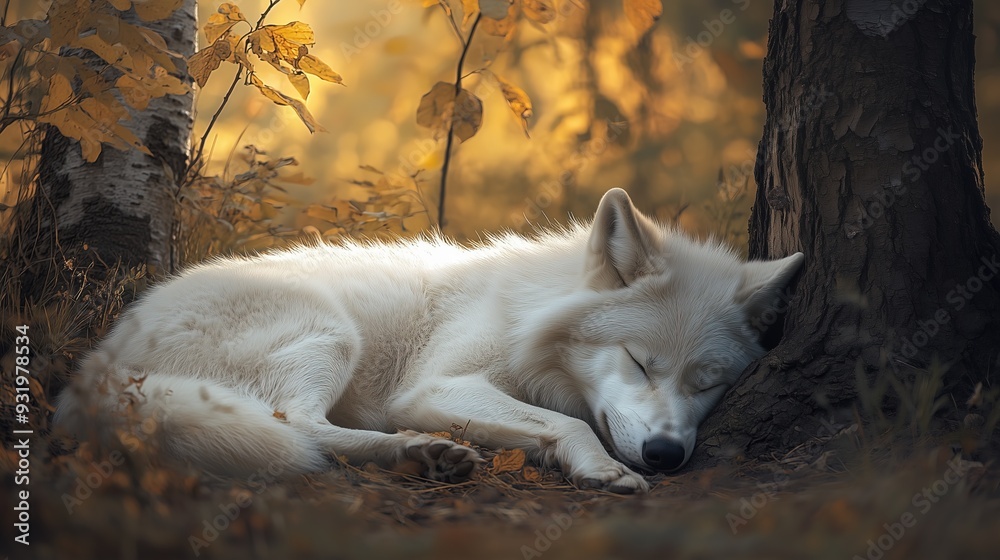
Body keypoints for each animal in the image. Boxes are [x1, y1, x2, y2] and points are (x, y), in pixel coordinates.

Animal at [55, 188, 803, 493]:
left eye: (709, 383)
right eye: (639, 363)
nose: (666, 454)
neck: (526, 311)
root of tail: (99, 365)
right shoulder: (438, 386)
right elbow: (569, 423)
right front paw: (603, 469)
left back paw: (425, 457)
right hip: (329, 333)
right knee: (297, 428)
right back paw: (417, 450)